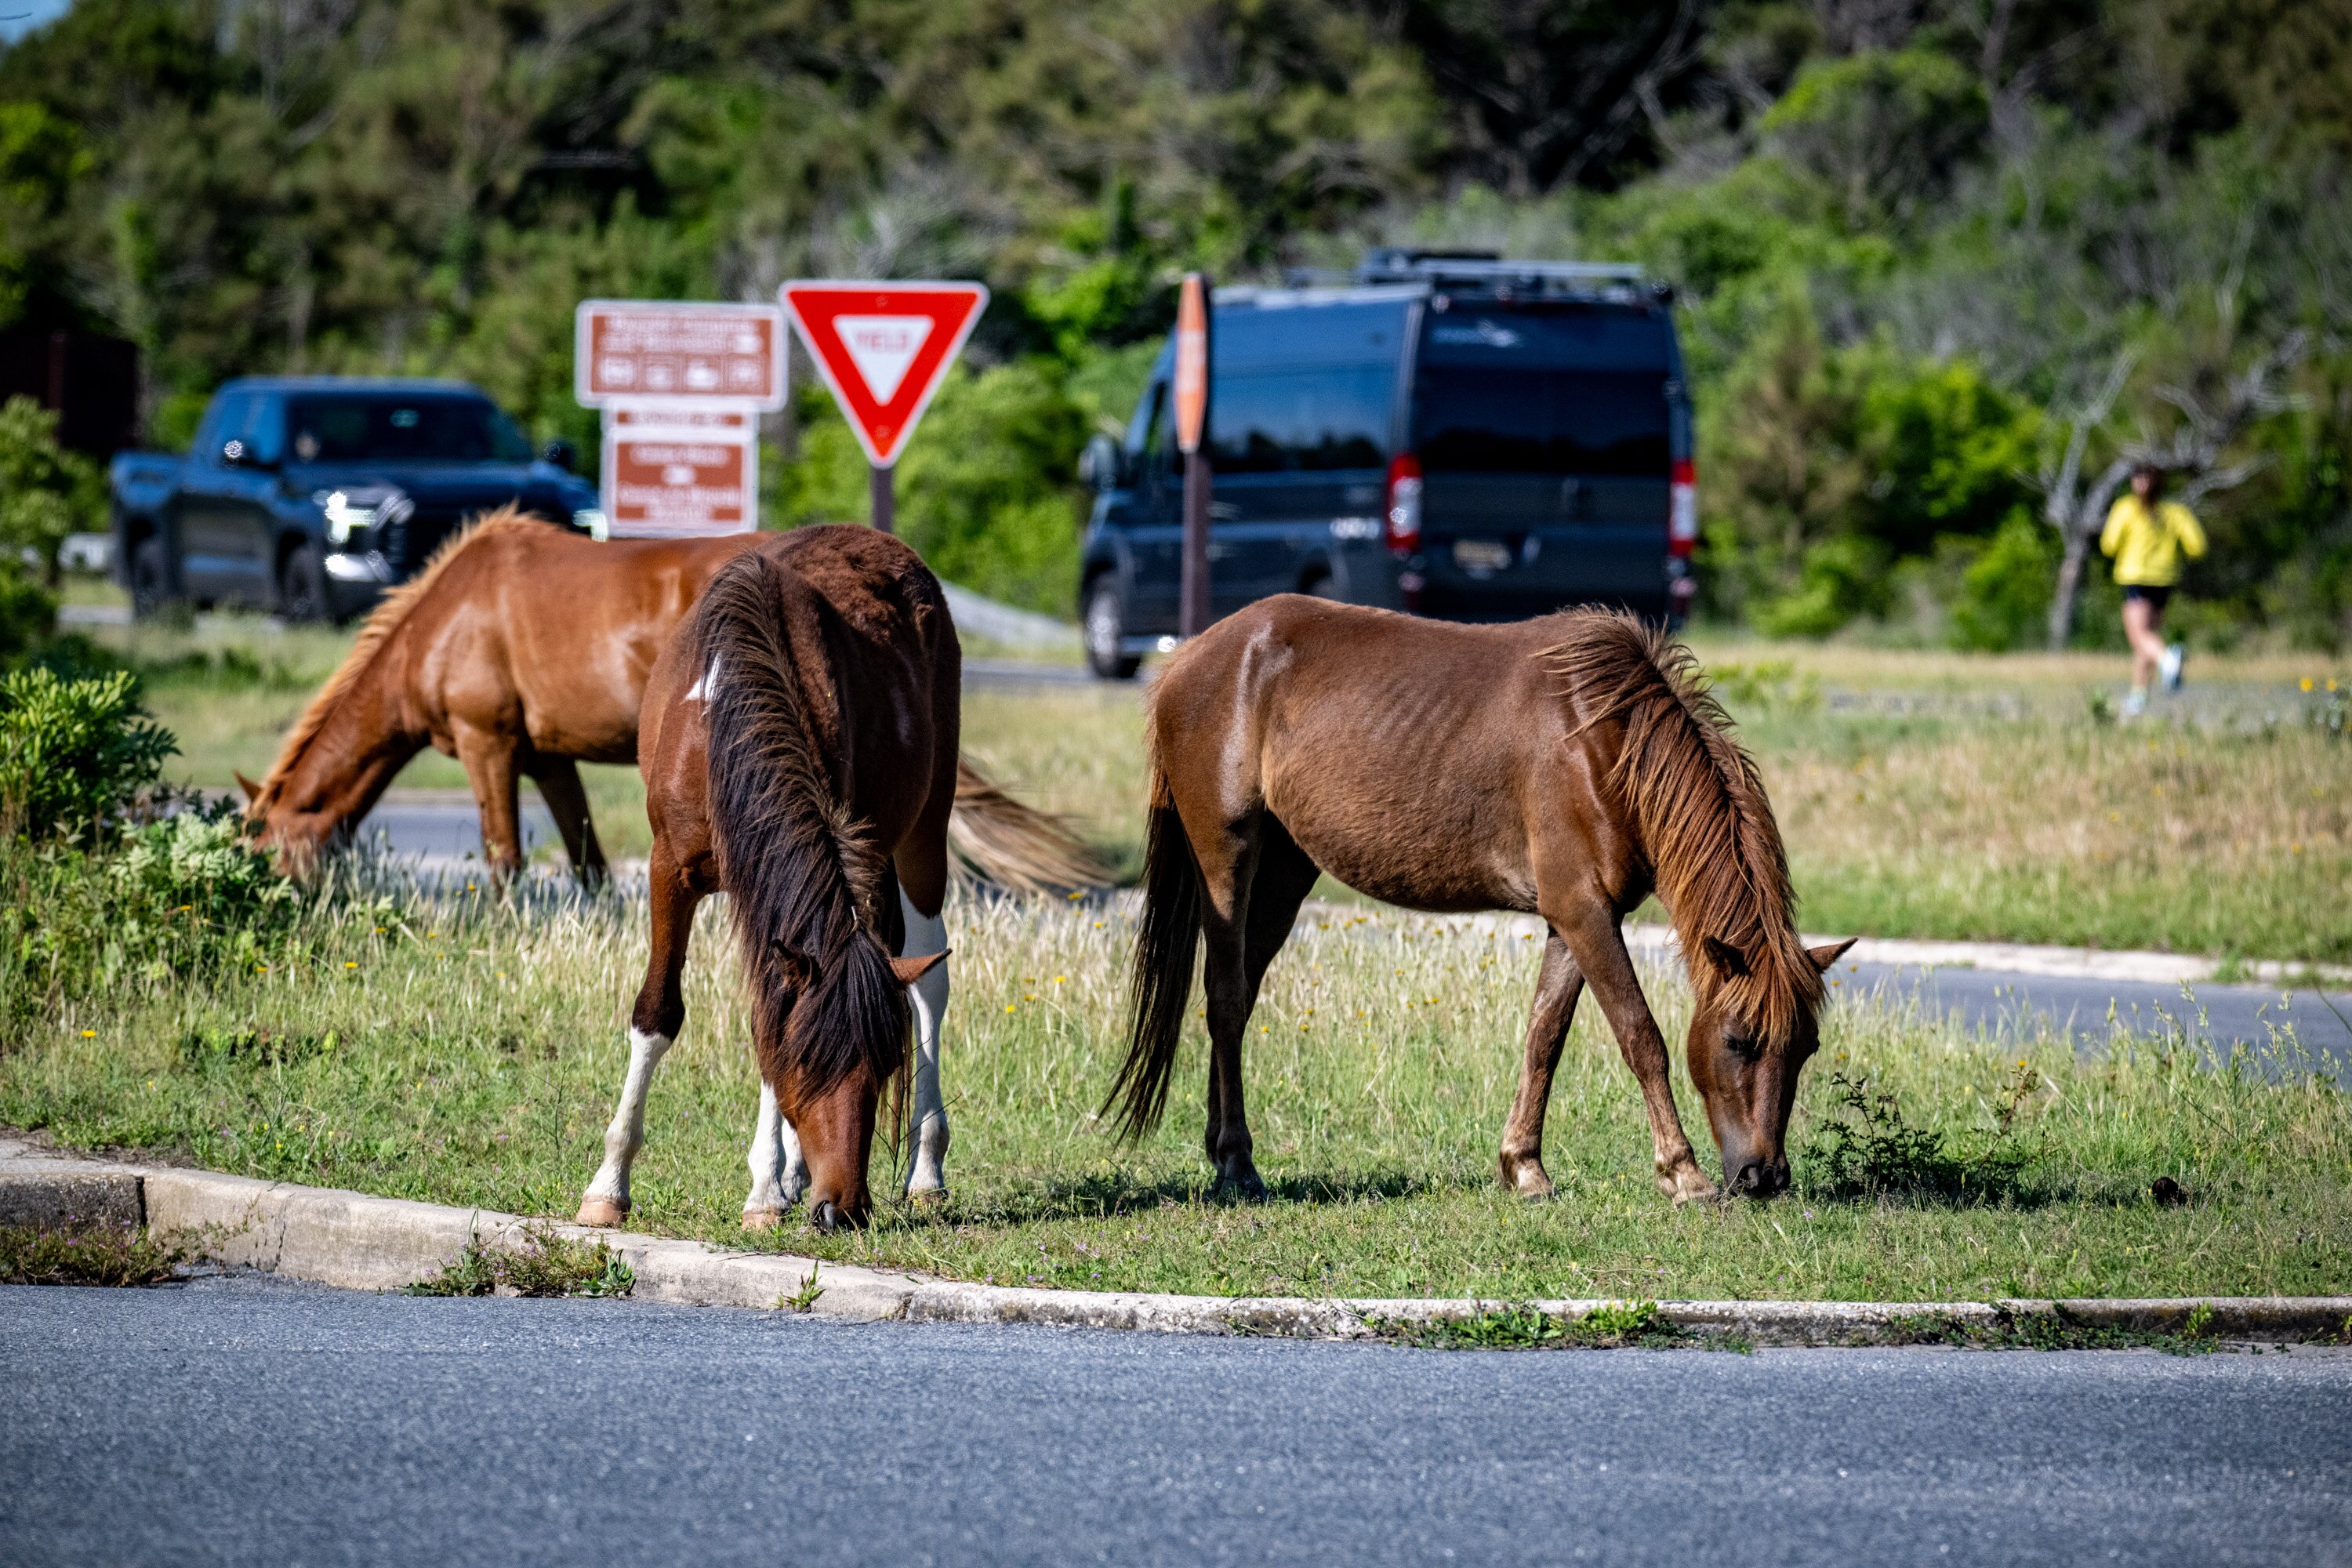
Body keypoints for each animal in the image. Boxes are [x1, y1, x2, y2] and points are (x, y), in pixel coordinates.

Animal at [240, 506, 1103, 895]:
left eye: (266, 846)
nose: (278, 898)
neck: (446, 619)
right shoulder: (550, 759)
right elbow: (587, 866)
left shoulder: (490, 745)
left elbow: (505, 860)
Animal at [576, 525, 964, 1234]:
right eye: (808, 1063)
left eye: (881, 1068)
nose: (846, 1211)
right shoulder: (670, 867)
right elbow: (657, 1013)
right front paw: (609, 1184)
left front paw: (764, 1187)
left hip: (922, 833)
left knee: (930, 986)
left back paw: (921, 1169)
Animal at [1108, 597, 1853, 1205]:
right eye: (1737, 1041)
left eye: (1807, 1048)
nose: (1764, 1177)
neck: (1603, 740)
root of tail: (1186, 661)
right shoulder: (1584, 915)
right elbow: (1641, 1037)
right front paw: (1682, 1173)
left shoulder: (1577, 919)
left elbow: (1544, 1038)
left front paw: (1524, 1167)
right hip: (1226, 857)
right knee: (1226, 998)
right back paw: (1238, 1163)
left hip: (1288, 870)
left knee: (1236, 996)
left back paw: (1221, 1150)